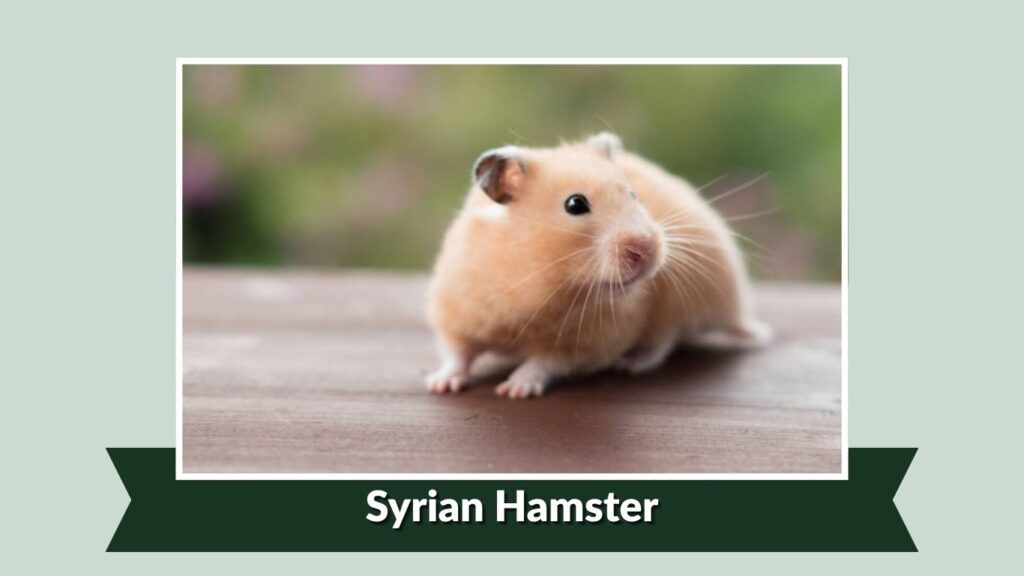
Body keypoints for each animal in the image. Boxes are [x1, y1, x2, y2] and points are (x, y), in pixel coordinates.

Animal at [425, 132, 770, 399]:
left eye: (633, 194)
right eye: (575, 204)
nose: (646, 248)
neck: (540, 279)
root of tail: (734, 311)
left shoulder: (588, 344)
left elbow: (544, 362)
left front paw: (514, 390)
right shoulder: (456, 311)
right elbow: (457, 352)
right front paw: (439, 385)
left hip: (680, 301)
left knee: (664, 341)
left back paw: (630, 364)